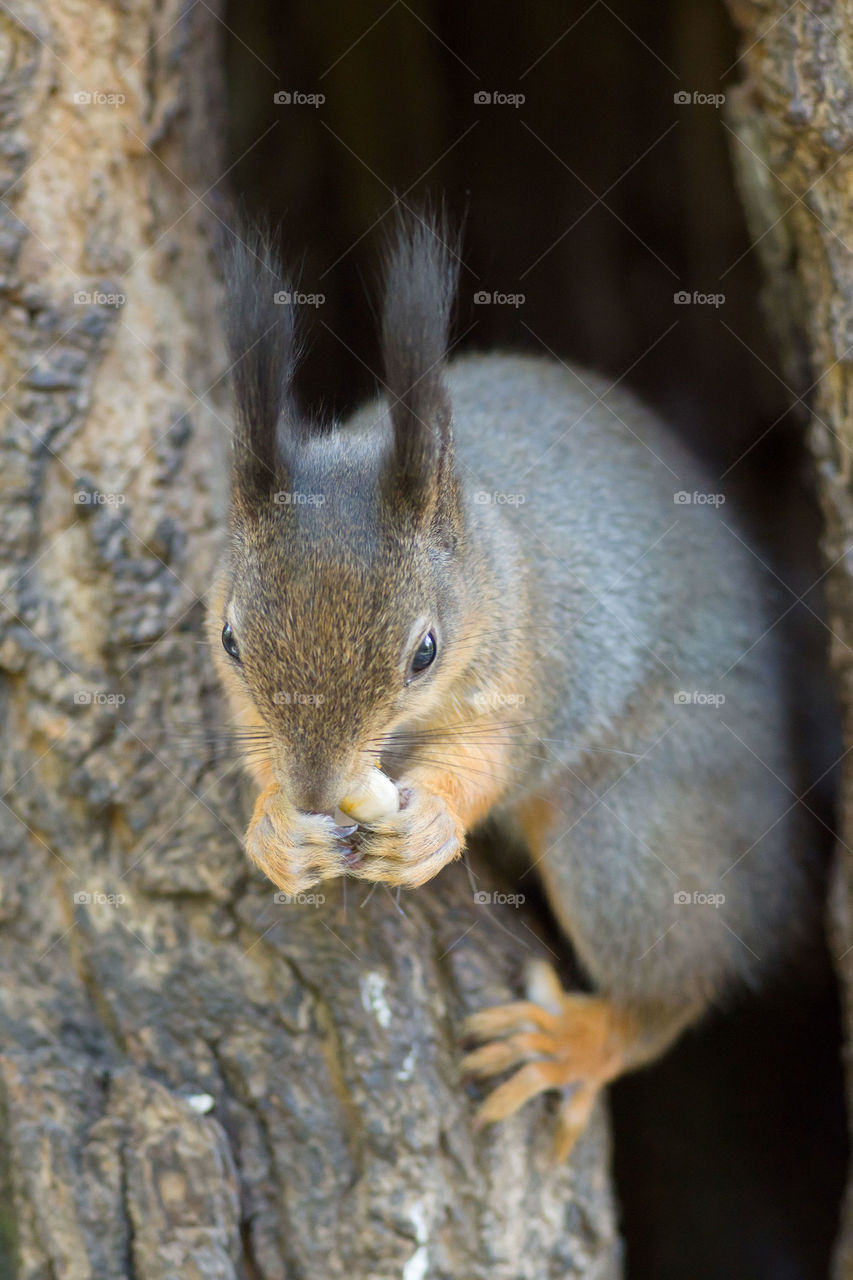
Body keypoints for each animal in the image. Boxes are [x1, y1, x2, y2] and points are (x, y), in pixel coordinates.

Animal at [208, 214, 815, 1159]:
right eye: (232, 640)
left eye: (424, 652)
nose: (315, 789)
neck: (492, 544)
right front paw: (276, 828)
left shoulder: (536, 665)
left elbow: (491, 758)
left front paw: (428, 825)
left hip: (626, 836)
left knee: (677, 981)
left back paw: (577, 1040)